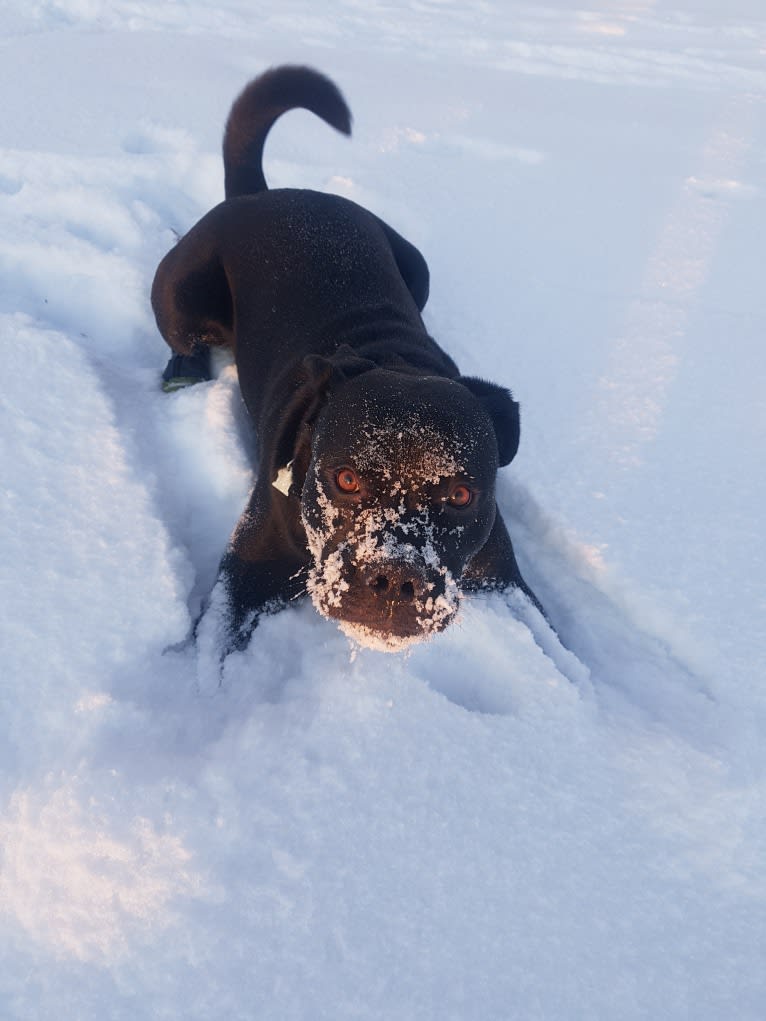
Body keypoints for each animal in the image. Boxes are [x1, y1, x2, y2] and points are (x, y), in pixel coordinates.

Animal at [154, 65, 539, 653]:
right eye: (346, 480)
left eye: (461, 494)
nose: (397, 576)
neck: (395, 358)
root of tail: (266, 194)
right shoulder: (244, 575)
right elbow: (210, 657)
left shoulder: (505, 581)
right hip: (182, 292)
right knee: (182, 337)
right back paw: (185, 371)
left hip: (417, 265)